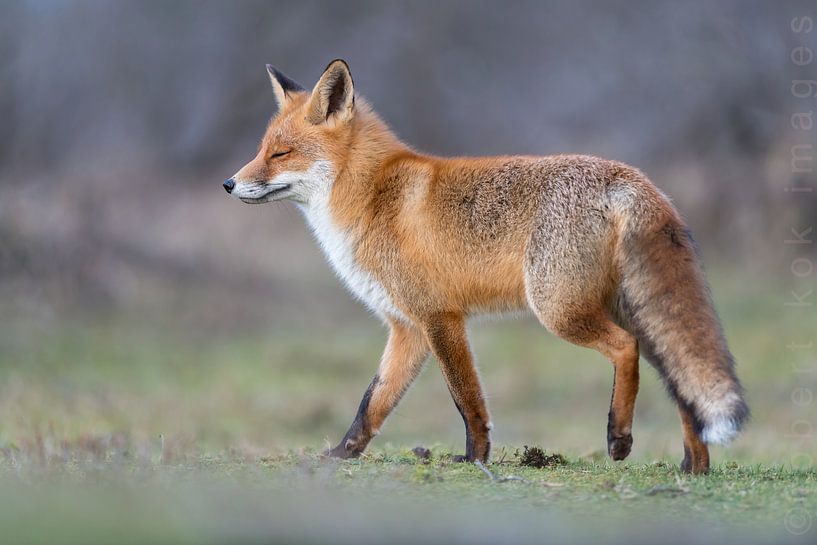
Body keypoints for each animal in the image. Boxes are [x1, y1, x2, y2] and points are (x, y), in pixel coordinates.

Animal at [223, 59, 748, 474]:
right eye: (261, 149)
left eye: (280, 153)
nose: (228, 184)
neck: (371, 196)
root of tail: (634, 178)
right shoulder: (406, 326)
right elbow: (372, 402)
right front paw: (340, 455)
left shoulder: (440, 317)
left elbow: (466, 398)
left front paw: (476, 457)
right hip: (626, 311)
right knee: (680, 384)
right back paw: (694, 465)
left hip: (559, 310)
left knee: (626, 349)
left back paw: (619, 437)